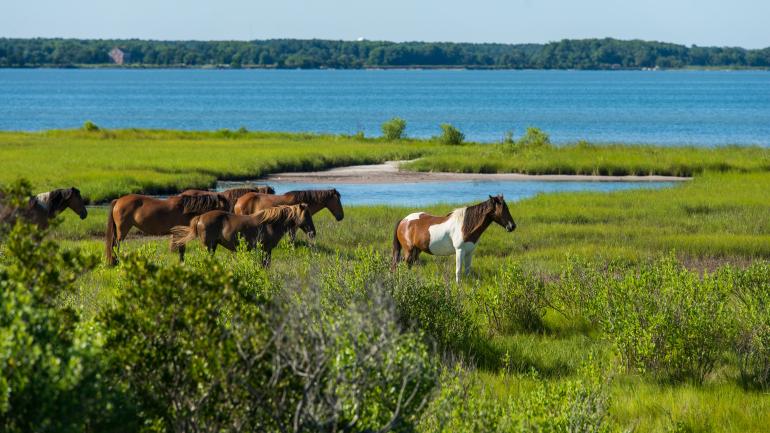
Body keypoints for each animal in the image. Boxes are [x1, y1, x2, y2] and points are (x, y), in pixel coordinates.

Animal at [169, 203, 316, 266]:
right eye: (306, 215)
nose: (313, 232)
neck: (270, 223)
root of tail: (200, 217)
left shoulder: (267, 250)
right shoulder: (266, 249)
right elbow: (265, 264)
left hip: (213, 246)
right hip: (208, 246)